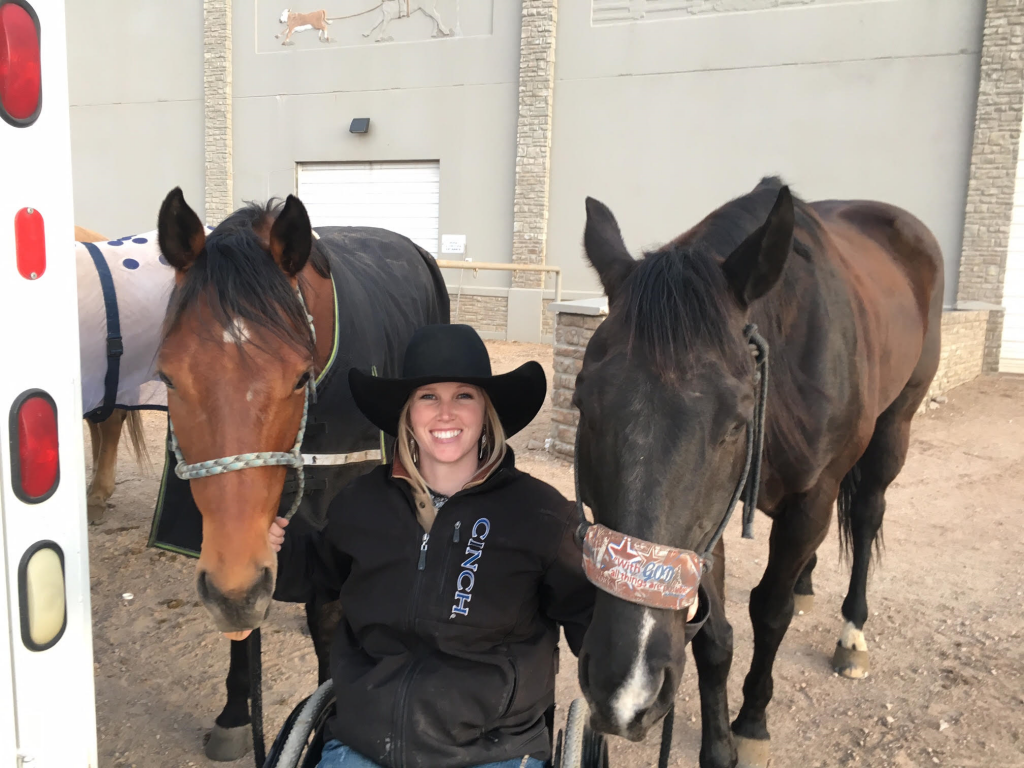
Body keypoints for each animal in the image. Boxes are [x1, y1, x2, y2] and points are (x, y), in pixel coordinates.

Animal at [152, 189, 448, 761]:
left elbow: (327, 618)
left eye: (298, 378)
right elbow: (246, 624)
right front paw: (234, 713)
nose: (234, 590)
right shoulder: (233, 548)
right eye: (168, 376)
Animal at [573, 177, 937, 765]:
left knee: (866, 516)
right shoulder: (706, 523)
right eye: (583, 402)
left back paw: (851, 633)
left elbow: (769, 611)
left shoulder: (812, 499)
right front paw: (718, 745)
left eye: (739, 418)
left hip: (894, 427)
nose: (624, 689)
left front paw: (751, 722)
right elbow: (714, 637)